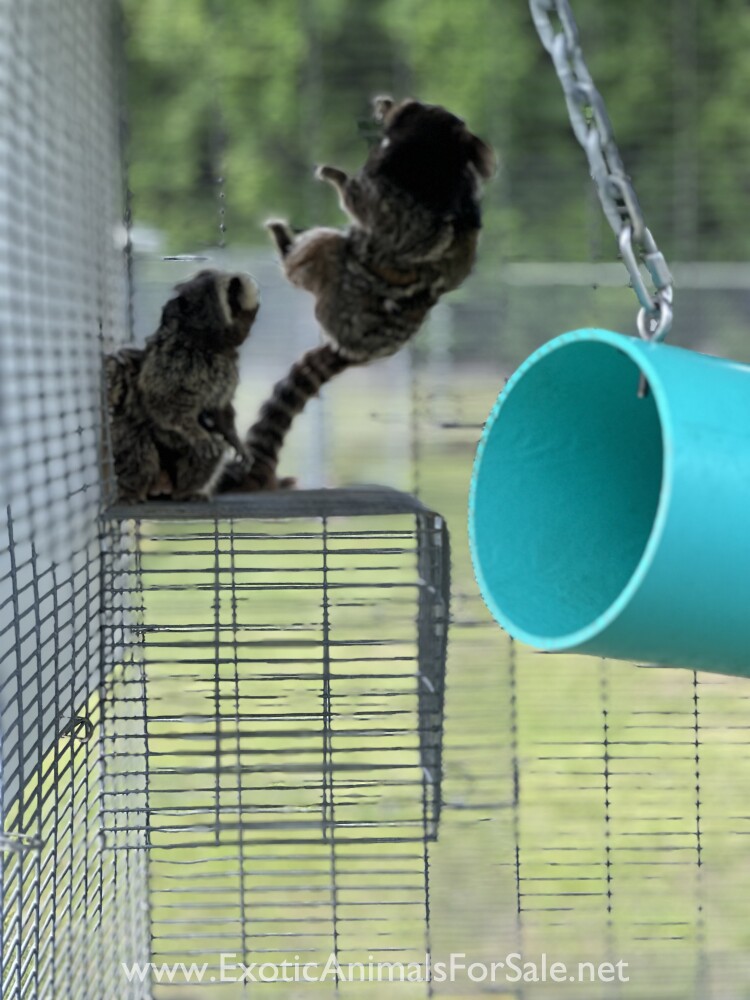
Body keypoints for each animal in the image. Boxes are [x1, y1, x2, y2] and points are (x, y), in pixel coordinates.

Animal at [105, 269, 260, 502]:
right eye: (233, 291)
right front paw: (197, 433)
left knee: (215, 444)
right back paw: (132, 492)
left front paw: (236, 441)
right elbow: (163, 404)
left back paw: (186, 492)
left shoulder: (227, 373)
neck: (205, 342)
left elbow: (219, 410)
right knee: (134, 440)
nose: (241, 282)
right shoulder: (176, 360)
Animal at [217, 97, 494, 493]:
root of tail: (354, 350)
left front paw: (336, 176)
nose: (388, 106)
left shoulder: (404, 205)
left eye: (411, 110)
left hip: (338, 304)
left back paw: (285, 245)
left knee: (330, 247)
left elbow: (368, 208)